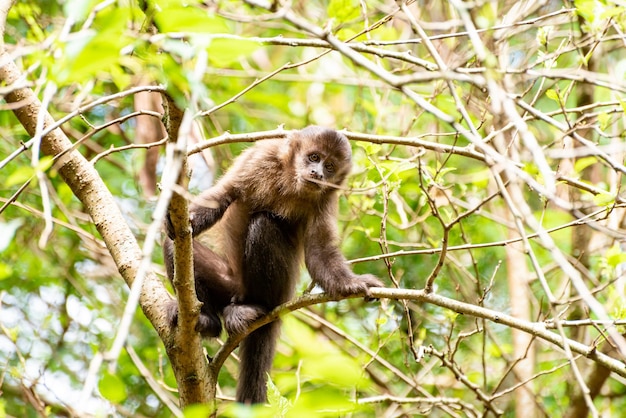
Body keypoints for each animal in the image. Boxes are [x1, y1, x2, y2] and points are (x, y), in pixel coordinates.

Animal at [162, 125, 380, 404]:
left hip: (276, 291)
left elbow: (320, 253)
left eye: (330, 166)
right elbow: (222, 196)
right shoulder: (260, 157)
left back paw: (256, 307)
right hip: (229, 284)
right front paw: (183, 218)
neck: (289, 180)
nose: (318, 173)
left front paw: (353, 283)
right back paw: (208, 320)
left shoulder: (327, 196)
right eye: (314, 157)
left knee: (263, 225)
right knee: (175, 246)